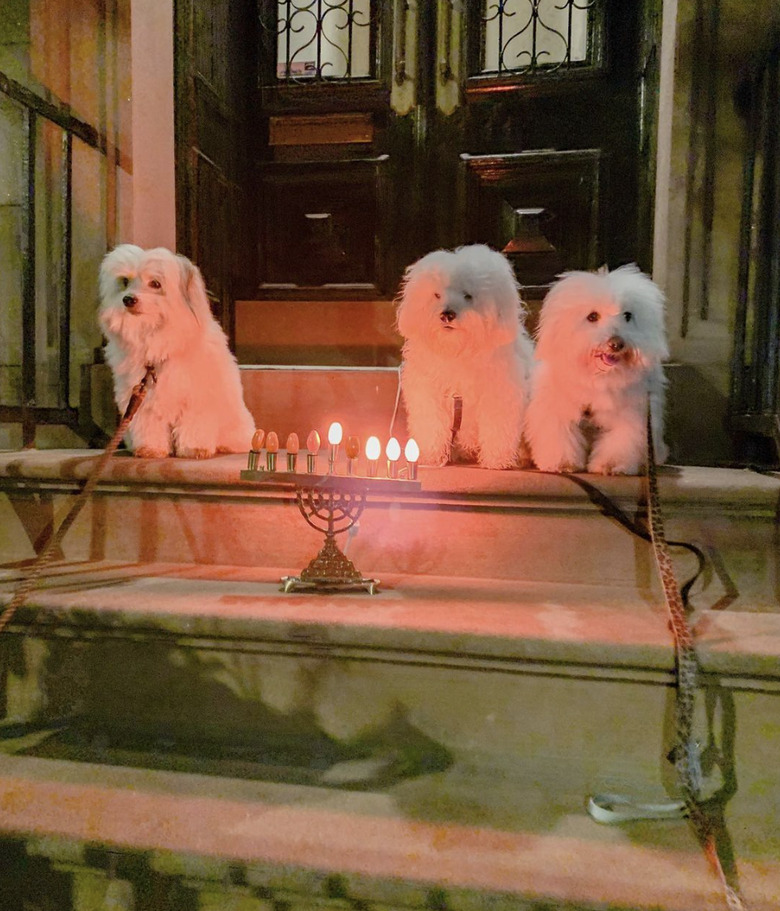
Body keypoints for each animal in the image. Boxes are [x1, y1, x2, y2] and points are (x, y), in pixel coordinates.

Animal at [97, 244, 256, 460]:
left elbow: (194, 425)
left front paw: (194, 449)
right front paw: (150, 449)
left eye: (155, 283)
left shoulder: (196, 399)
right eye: (125, 281)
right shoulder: (144, 401)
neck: (155, 334)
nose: (128, 299)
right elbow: (148, 426)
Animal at [396, 244, 536, 470]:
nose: (447, 314)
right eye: (437, 295)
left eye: (468, 295)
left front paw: (497, 460)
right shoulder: (428, 394)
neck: (457, 350)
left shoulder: (499, 394)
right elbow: (431, 425)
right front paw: (430, 456)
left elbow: (497, 427)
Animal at [520, 264, 668, 478]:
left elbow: (620, 441)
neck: (598, 376)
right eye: (592, 316)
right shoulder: (557, 411)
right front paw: (562, 463)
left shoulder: (632, 415)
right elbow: (560, 437)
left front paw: (612, 465)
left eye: (627, 315)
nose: (616, 343)